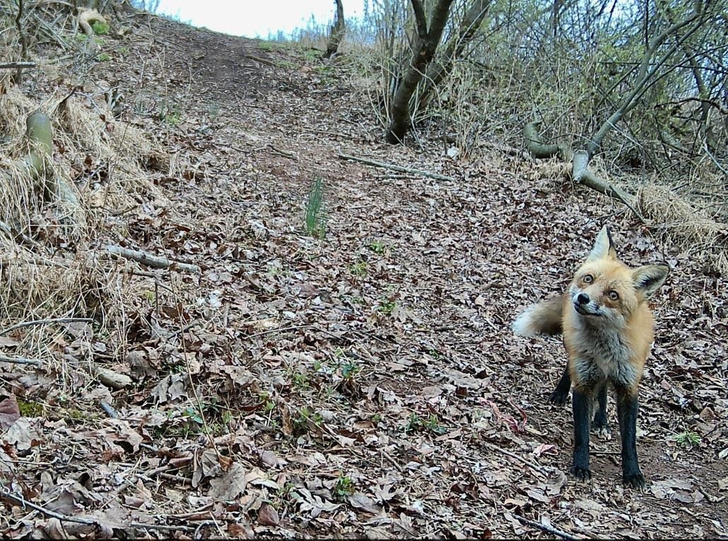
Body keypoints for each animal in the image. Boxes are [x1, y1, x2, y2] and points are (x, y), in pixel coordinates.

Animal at [513, 226, 669, 488]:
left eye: (613, 295)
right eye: (589, 279)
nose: (582, 298)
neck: (604, 348)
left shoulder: (628, 387)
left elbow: (629, 441)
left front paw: (632, 473)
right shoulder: (584, 383)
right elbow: (581, 435)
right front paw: (581, 466)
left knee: (603, 389)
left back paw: (602, 420)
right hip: (575, 353)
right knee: (572, 370)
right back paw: (560, 393)